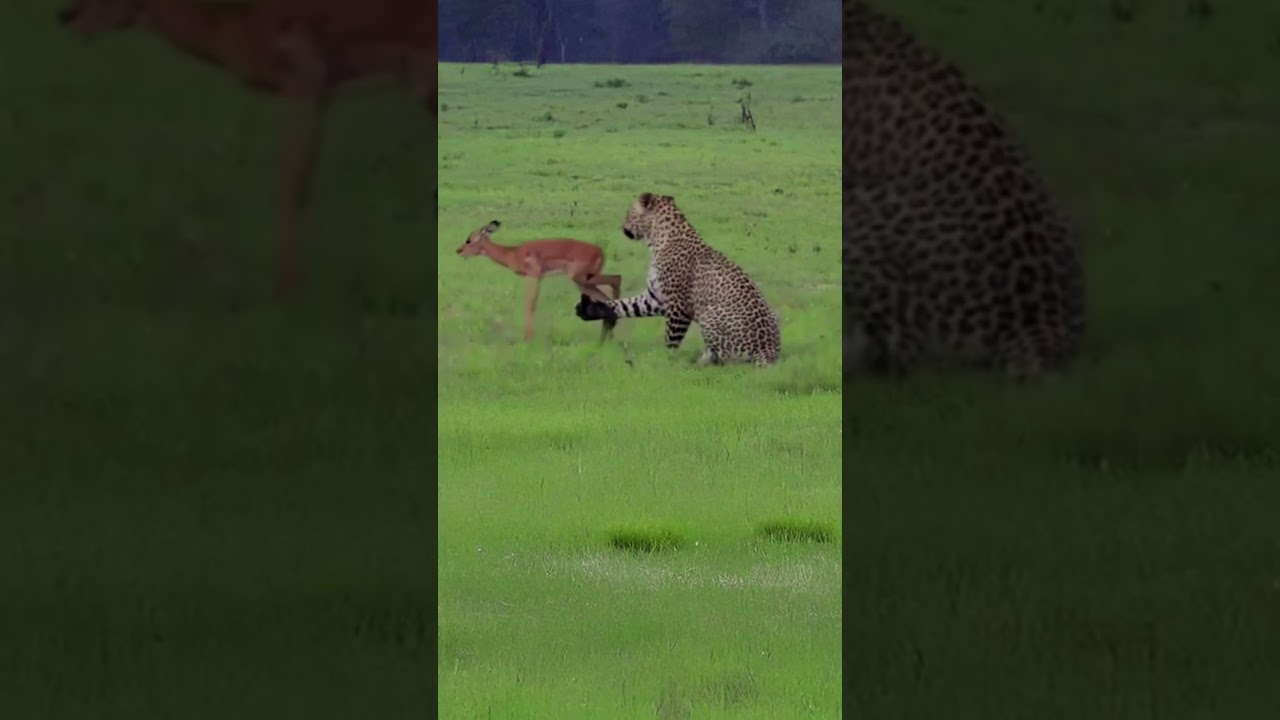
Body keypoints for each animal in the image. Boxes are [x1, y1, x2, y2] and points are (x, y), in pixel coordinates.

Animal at [457, 221, 622, 342]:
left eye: (469, 239)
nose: (458, 251)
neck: (512, 253)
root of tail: (601, 252)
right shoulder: (540, 278)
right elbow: (534, 304)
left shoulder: (532, 275)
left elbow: (529, 304)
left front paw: (528, 338)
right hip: (583, 282)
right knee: (606, 296)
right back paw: (607, 337)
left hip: (582, 278)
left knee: (617, 279)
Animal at [575, 192, 782, 367]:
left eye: (629, 213)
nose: (623, 227)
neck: (656, 241)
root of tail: (769, 353)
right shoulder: (655, 298)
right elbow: (627, 305)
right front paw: (591, 308)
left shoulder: (678, 305)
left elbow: (671, 340)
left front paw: (667, 362)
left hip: (710, 314)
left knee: (725, 358)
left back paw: (700, 362)